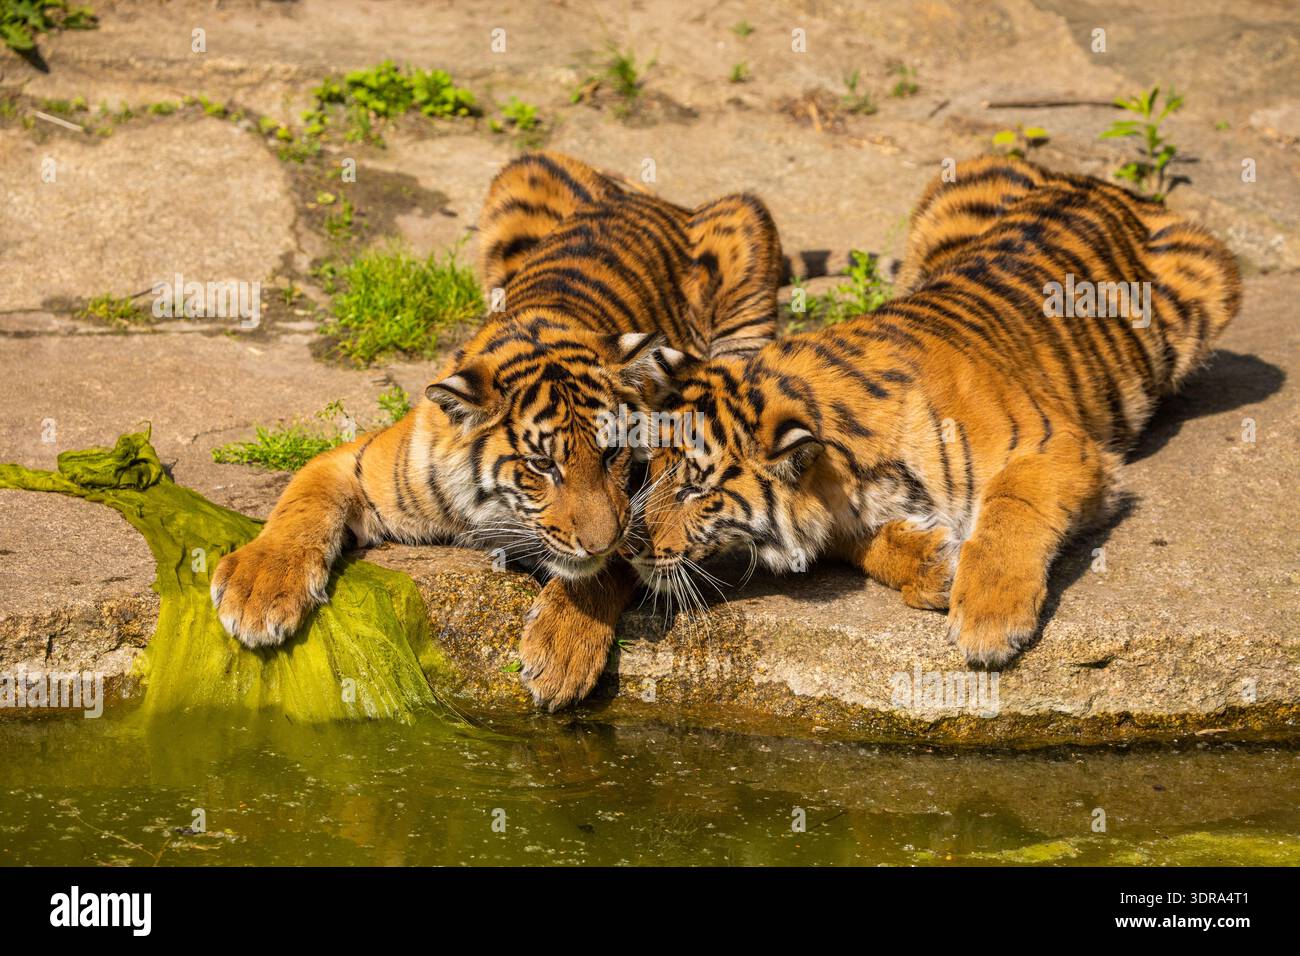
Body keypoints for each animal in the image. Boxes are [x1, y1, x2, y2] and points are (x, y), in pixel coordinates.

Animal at [210, 151, 782, 709]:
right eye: (542, 465)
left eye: (612, 454)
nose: (600, 542)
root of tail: (649, 197)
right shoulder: (358, 463)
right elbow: (301, 508)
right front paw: (260, 592)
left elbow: (612, 567)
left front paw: (561, 652)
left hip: (746, 226)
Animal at [619, 155, 1241, 668]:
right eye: (650, 470)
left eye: (698, 491)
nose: (631, 548)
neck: (850, 471)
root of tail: (1098, 181)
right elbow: (858, 544)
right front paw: (933, 567)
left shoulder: (1056, 447)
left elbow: (1010, 511)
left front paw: (989, 622)